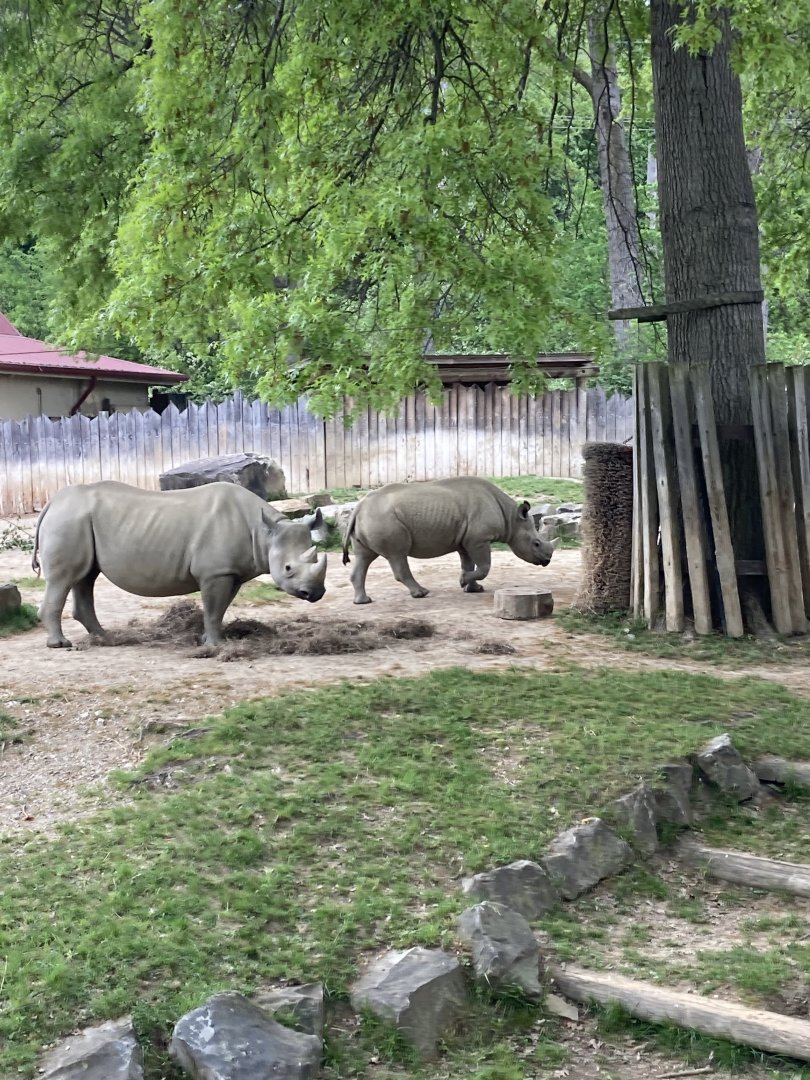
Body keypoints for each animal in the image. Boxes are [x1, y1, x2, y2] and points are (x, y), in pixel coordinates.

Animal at [32, 480, 328, 648]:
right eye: (288, 569)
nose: (315, 593)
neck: (264, 533)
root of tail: (52, 503)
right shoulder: (215, 572)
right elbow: (213, 608)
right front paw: (216, 646)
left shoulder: (230, 572)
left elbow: (219, 609)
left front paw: (208, 640)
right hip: (69, 520)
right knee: (64, 578)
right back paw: (60, 644)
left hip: (77, 519)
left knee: (85, 577)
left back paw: (104, 639)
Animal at [341, 476, 558, 604]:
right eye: (536, 543)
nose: (547, 561)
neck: (511, 518)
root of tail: (359, 507)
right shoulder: (478, 539)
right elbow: (484, 566)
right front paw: (463, 582)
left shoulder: (466, 540)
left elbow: (469, 564)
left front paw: (473, 588)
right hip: (384, 519)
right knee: (397, 555)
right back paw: (422, 593)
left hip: (370, 518)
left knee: (364, 557)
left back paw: (363, 601)